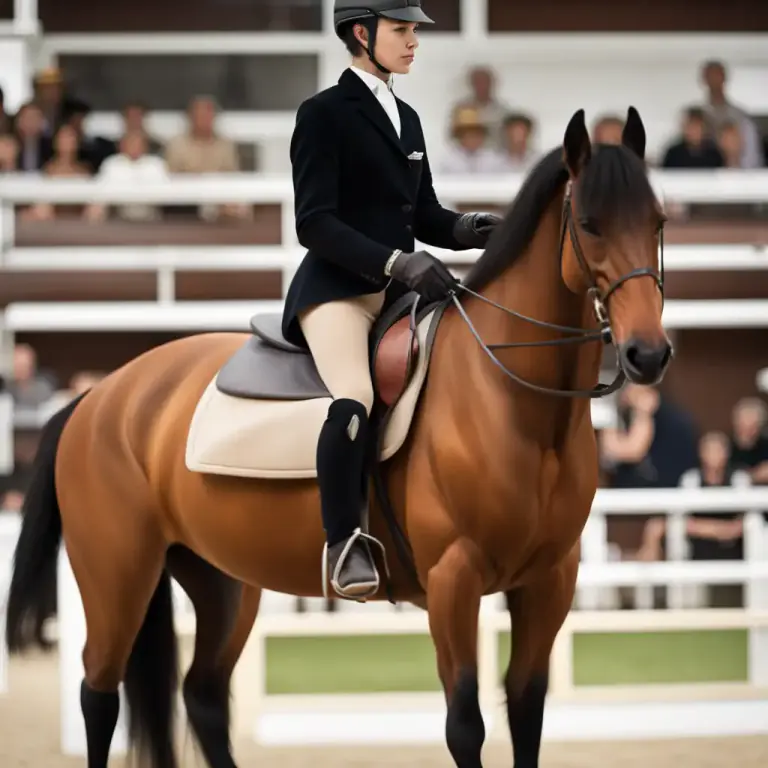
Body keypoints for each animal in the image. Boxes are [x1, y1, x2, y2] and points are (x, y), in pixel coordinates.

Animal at [5, 106, 670, 768]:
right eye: (589, 224)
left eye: (659, 221)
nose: (648, 355)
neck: (517, 408)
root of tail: (100, 395)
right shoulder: (454, 581)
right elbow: (465, 726)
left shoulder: (549, 581)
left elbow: (526, 714)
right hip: (118, 572)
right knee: (99, 693)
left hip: (221, 579)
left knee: (204, 697)